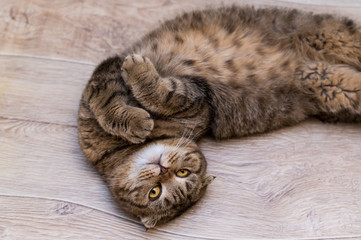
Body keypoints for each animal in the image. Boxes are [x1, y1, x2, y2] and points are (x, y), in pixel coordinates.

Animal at [76, 5, 360, 229]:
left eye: (182, 173)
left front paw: (137, 104)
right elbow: (116, 101)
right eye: (154, 192)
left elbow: (139, 95)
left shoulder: (193, 98)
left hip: (332, 34)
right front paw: (136, 121)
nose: (162, 169)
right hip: (333, 85)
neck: (113, 150)